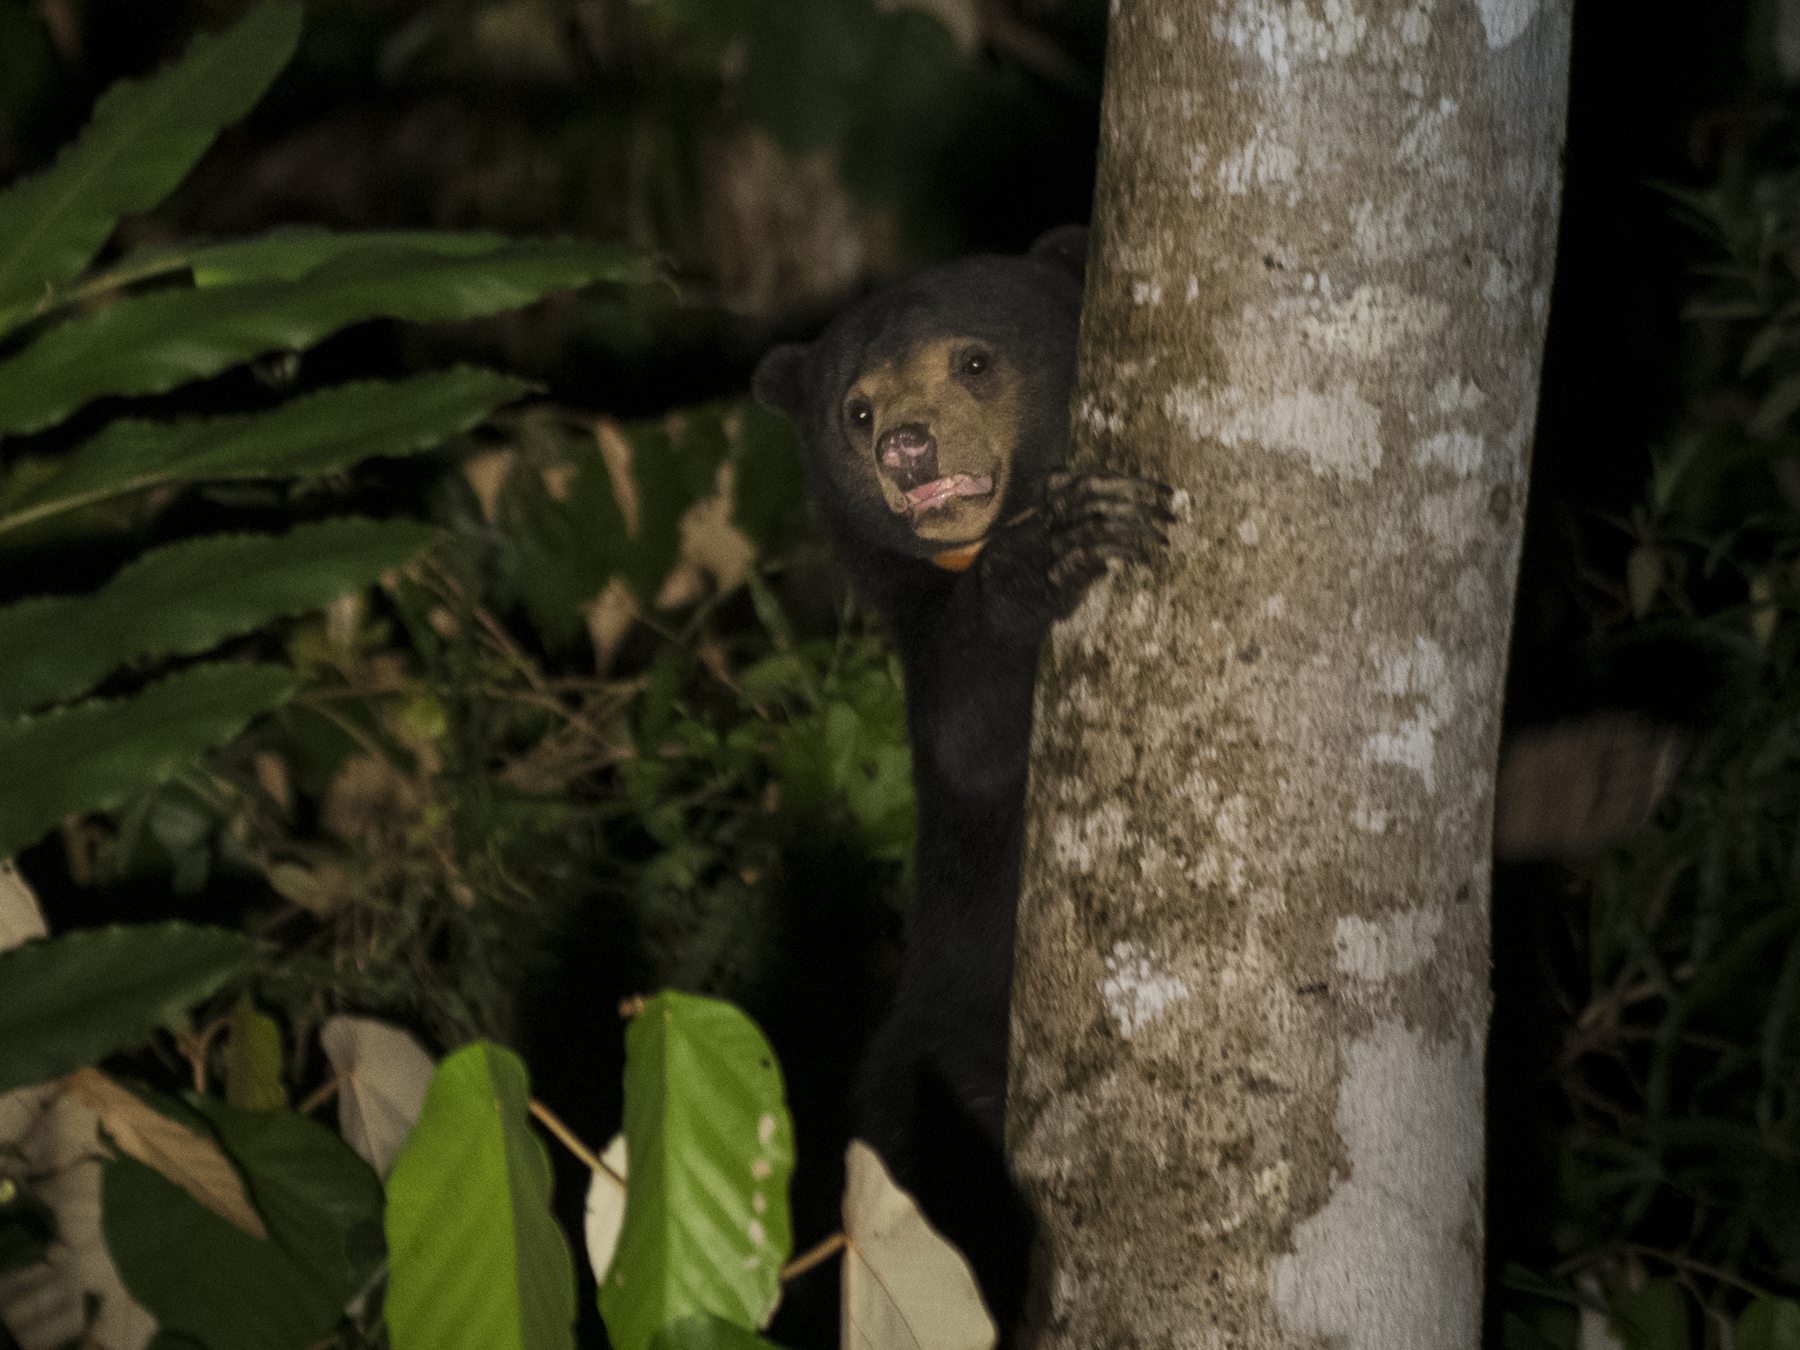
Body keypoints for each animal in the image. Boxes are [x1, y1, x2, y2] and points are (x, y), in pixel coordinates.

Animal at [752, 225, 1171, 1334]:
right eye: (856, 409)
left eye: (975, 362)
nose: (907, 448)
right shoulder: (926, 641)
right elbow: (968, 735)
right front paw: (1054, 550)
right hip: (934, 1073)